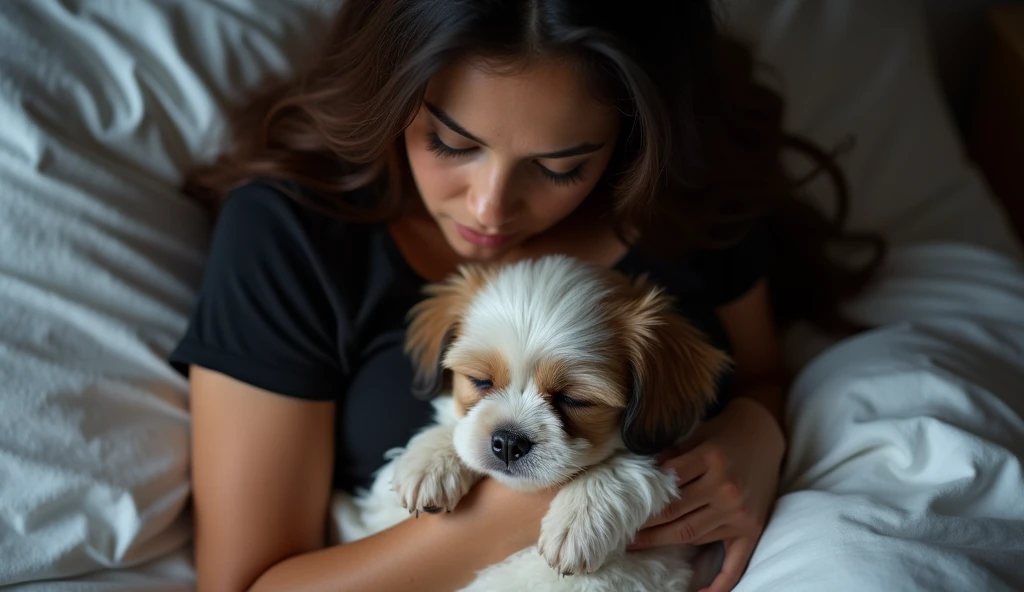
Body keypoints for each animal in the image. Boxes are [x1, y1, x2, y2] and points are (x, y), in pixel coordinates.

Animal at [331, 255, 733, 589]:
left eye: (574, 399)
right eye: (480, 381)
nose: (508, 441)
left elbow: (625, 466)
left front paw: (580, 518)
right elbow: (457, 427)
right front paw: (431, 459)